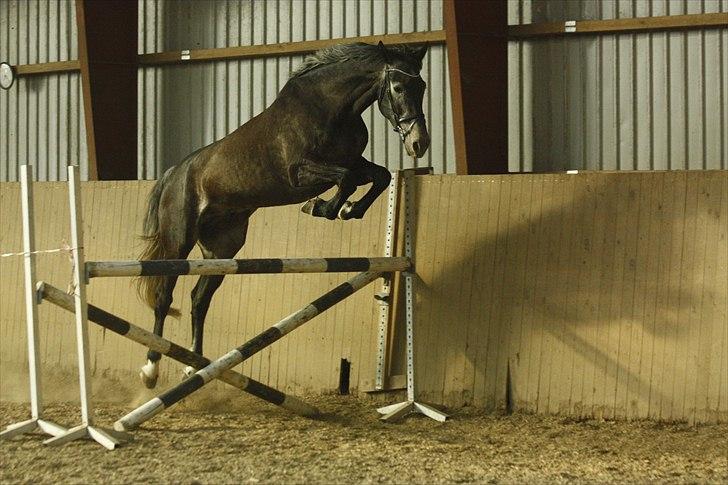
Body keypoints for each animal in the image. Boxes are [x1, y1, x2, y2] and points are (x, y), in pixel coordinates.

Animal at [137, 42, 430, 390]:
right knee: (164, 295)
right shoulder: (300, 173)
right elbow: (346, 180)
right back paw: (151, 369)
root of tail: (174, 173)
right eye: (398, 87)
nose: (419, 144)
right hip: (179, 241)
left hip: (221, 248)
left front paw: (348, 210)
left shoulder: (353, 162)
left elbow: (379, 176)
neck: (333, 109)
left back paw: (192, 366)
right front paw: (322, 208)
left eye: (422, 86)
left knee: (199, 299)